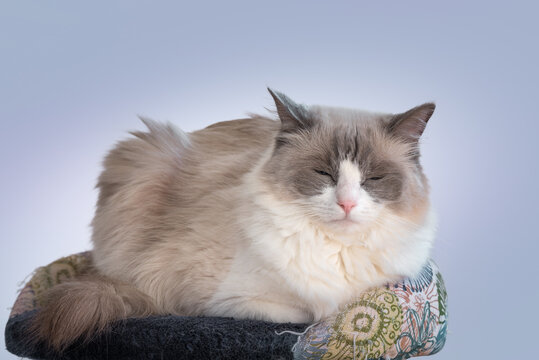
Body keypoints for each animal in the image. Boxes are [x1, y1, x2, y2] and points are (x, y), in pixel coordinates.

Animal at [31, 88, 436, 350]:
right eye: (324, 173)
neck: (333, 248)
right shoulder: (216, 299)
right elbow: (307, 315)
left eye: (373, 179)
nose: (347, 204)